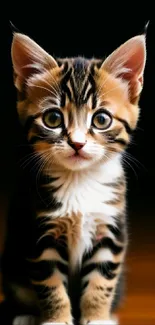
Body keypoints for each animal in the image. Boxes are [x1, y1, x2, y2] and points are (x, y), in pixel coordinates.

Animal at [1, 31, 146, 324]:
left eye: (101, 119)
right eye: (53, 118)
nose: (77, 144)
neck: (80, 180)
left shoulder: (109, 230)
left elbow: (101, 283)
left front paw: (97, 317)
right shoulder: (40, 235)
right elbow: (50, 285)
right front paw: (57, 319)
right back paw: (25, 315)